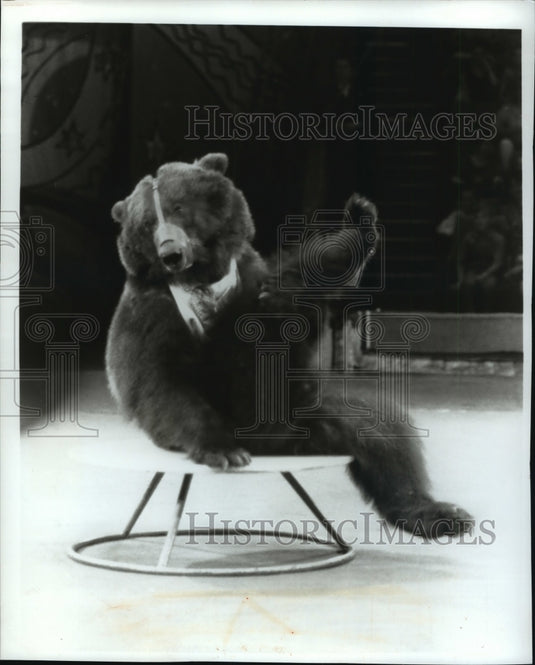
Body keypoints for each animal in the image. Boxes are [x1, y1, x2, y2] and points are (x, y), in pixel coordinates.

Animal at [106, 152, 472, 537]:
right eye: (148, 223)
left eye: (178, 208)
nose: (170, 252)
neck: (202, 277)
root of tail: (281, 442)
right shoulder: (152, 311)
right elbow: (160, 380)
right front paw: (223, 450)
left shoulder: (247, 278)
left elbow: (291, 290)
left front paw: (358, 219)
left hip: (313, 414)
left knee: (387, 439)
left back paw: (442, 513)